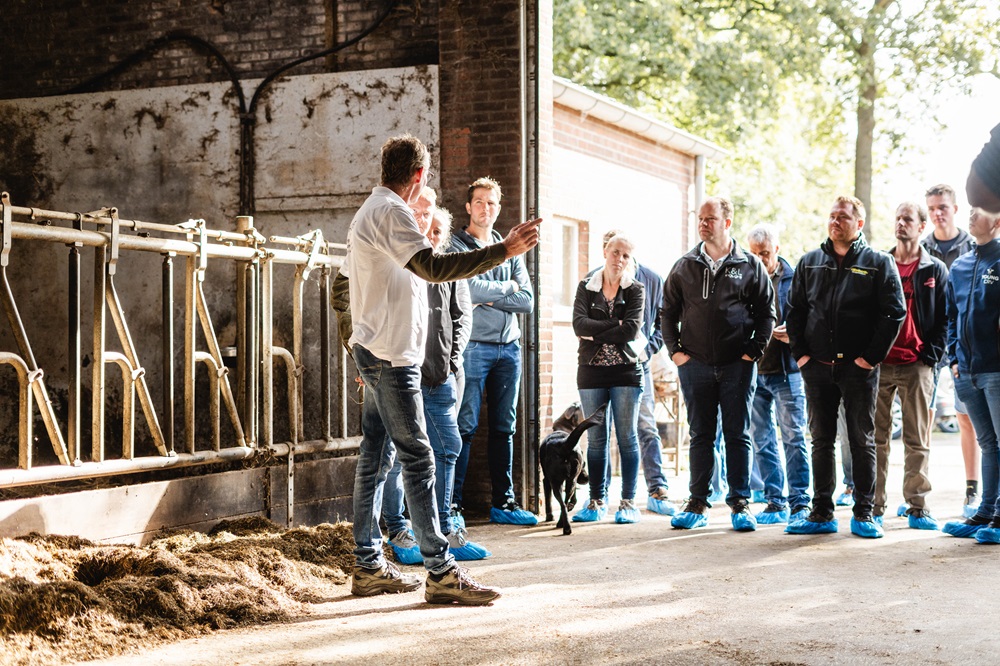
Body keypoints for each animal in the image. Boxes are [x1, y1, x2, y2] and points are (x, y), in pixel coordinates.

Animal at [544, 400, 604, 536]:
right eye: (585, 464)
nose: (587, 479)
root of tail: (563, 444)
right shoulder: (572, 477)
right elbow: (573, 496)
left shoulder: (546, 480)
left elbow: (548, 500)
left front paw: (549, 517)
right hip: (569, 479)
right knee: (565, 502)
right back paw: (565, 525)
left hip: (556, 481)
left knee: (562, 504)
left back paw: (563, 525)